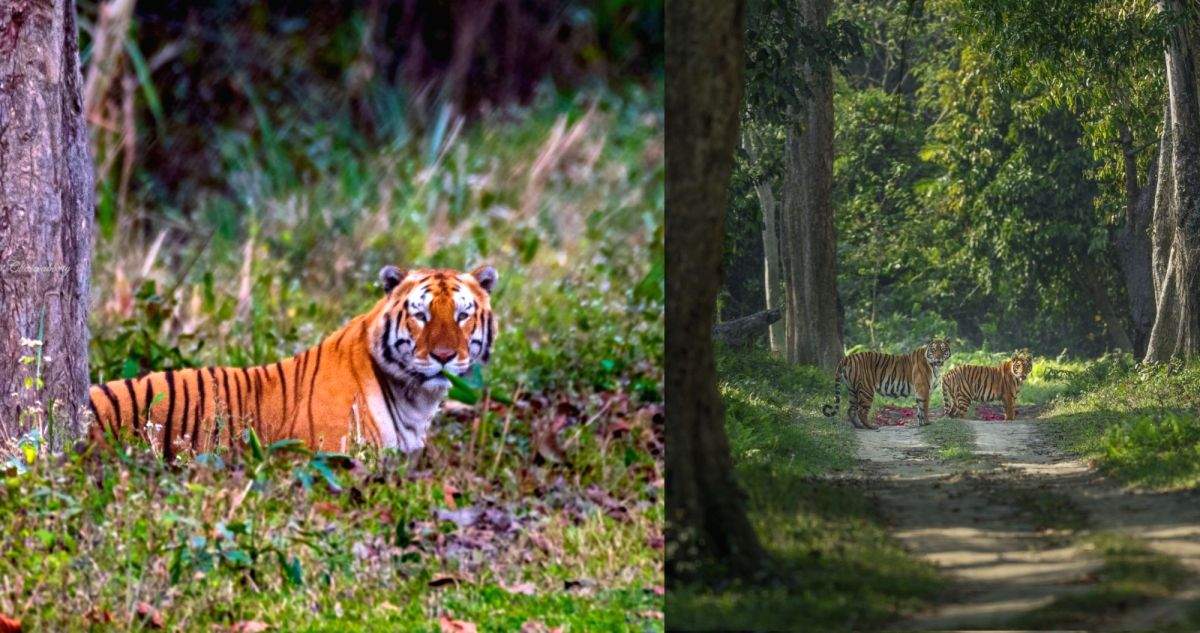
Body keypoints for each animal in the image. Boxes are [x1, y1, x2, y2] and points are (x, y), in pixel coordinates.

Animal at [821, 338, 952, 430]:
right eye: (934, 350)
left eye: (943, 349)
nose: (938, 358)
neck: (936, 367)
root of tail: (848, 357)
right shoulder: (923, 388)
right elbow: (924, 406)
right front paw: (927, 422)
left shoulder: (921, 390)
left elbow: (920, 407)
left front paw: (921, 423)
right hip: (866, 390)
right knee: (861, 411)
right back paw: (871, 426)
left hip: (852, 390)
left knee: (851, 410)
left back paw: (859, 426)